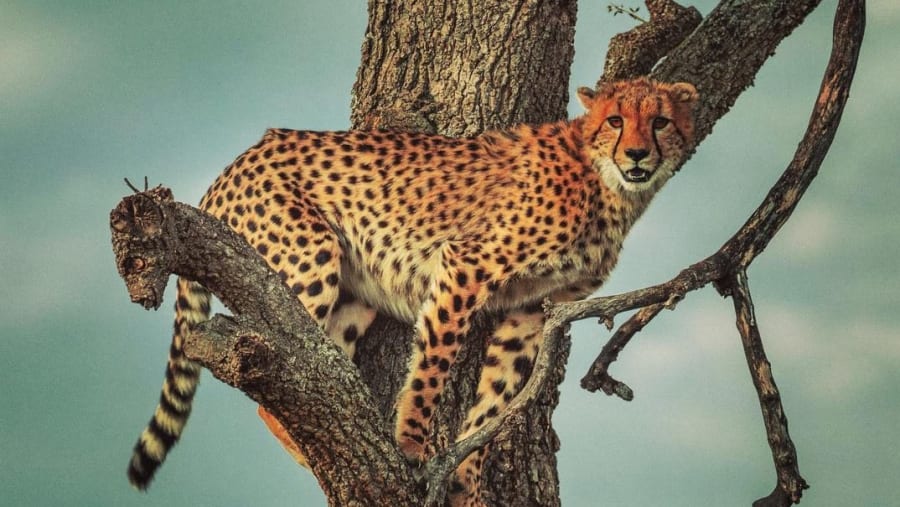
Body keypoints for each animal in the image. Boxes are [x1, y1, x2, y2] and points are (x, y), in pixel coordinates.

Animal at [126, 77, 698, 506]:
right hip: (308, 257)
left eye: (660, 121)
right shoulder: (466, 265)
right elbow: (433, 368)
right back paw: (323, 454)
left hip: (356, 294)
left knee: (325, 370)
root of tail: (235, 162)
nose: (638, 154)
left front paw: (466, 482)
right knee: (286, 379)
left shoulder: (534, 310)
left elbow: (495, 399)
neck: (608, 185)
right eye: (616, 121)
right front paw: (411, 447)